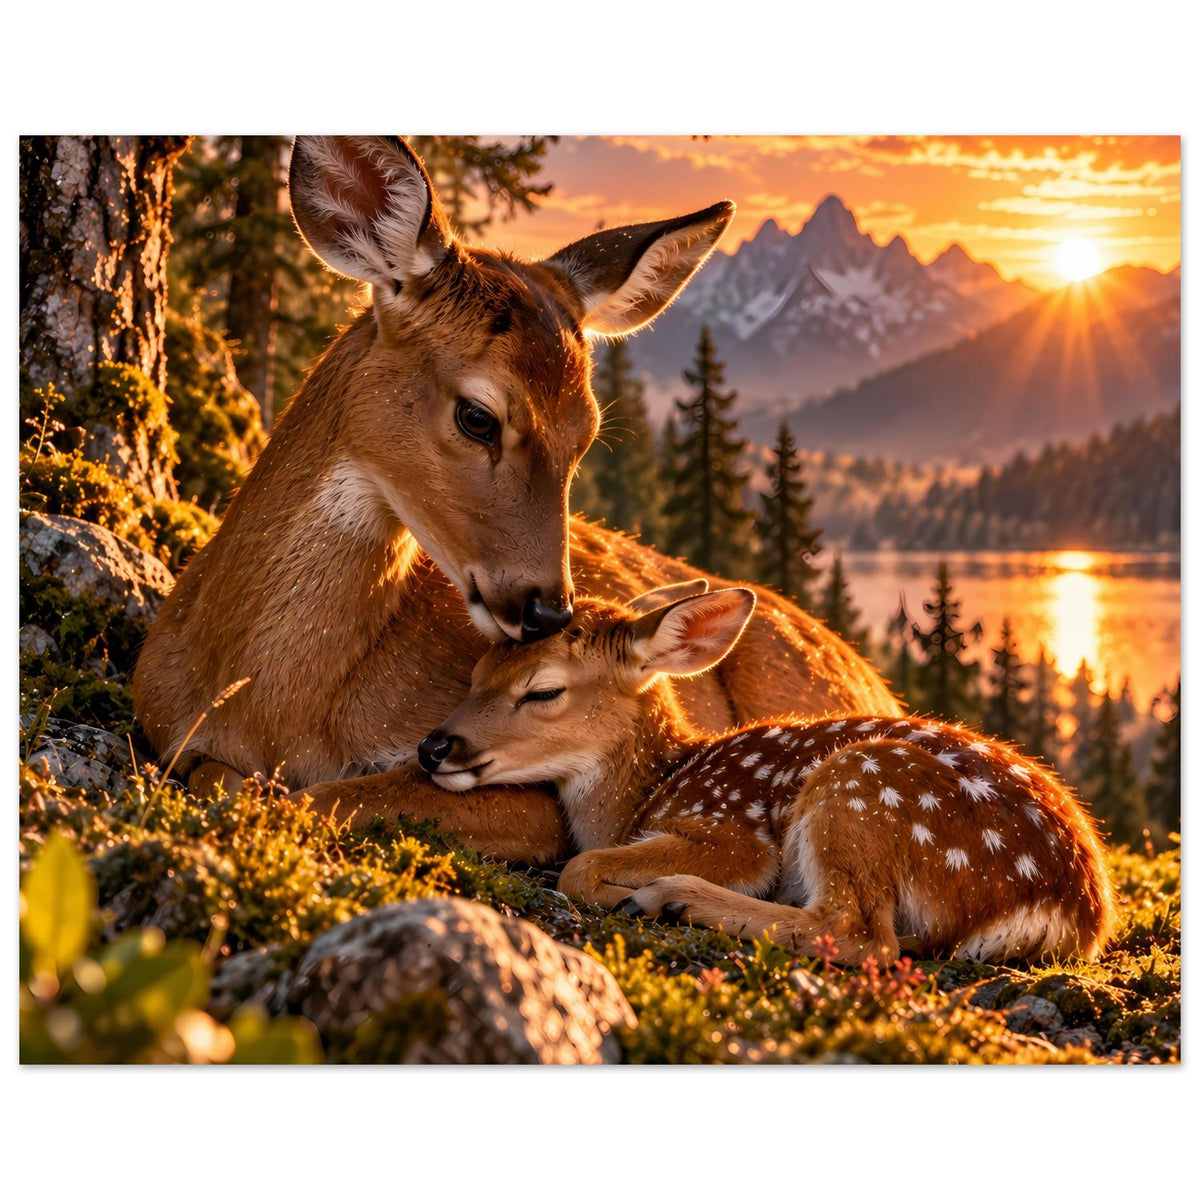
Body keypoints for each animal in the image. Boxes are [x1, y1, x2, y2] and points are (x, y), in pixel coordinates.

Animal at [133, 136, 901, 866]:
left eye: (586, 433)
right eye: (478, 416)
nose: (548, 609)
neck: (266, 704)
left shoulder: (529, 797)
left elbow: (328, 795)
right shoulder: (163, 723)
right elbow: (225, 778)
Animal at [419, 584, 1117, 964]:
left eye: (543, 691)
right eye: (478, 671)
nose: (433, 747)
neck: (648, 790)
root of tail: (1071, 912)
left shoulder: (732, 831)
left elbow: (580, 866)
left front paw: (626, 890)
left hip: (861, 787)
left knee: (859, 933)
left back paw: (672, 898)